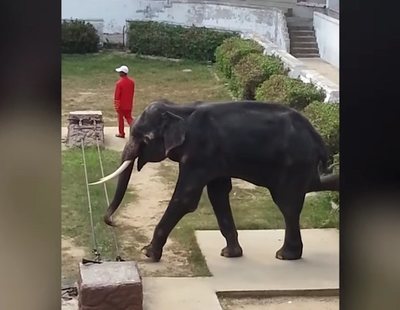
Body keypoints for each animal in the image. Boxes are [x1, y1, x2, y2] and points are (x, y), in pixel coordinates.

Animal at [90, 98, 338, 262]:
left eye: (144, 138)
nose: (112, 222)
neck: (179, 109)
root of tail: (318, 139)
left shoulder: (200, 153)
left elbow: (186, 198)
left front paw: (148, 253)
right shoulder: (214, 158)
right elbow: (218, 194)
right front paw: (230, 254)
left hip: (293, 165)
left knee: (288, 205)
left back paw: (285, 256)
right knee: (308, 190)